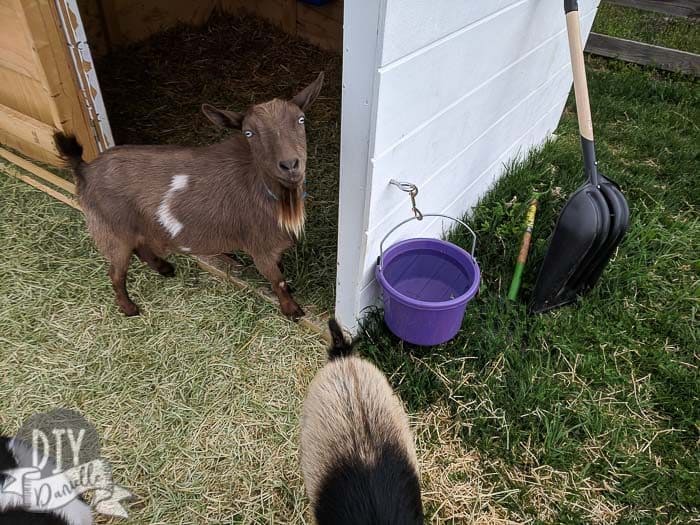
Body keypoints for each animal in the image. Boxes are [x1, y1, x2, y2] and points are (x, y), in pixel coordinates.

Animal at [55, 71, 326, 318]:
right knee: (116, 272)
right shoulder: (260, 247)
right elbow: (277, 280)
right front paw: (293, 311)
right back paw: (129, 308)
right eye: (249, 133)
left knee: (140, 248)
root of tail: (85, 169)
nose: (290, 165)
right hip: (112, 230)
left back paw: (164, 268)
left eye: (301, 119)